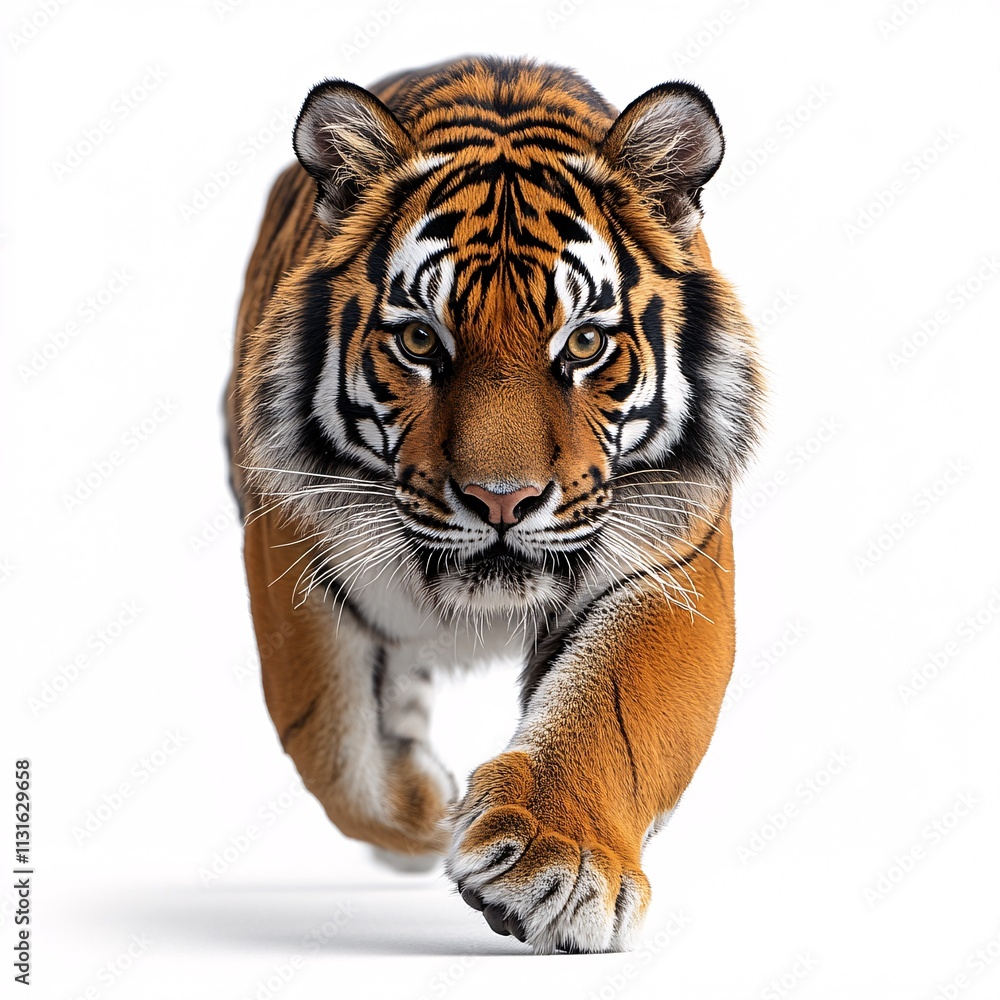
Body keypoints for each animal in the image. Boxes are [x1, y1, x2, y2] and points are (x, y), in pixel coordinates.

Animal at [226, 56, 763, 954]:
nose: (500, 500)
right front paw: (424, 810)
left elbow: (615, 707)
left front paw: (556, 864)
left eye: (585, 344)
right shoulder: (290, 539)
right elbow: (330, 741)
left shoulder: (675, 560)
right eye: (420, 340)